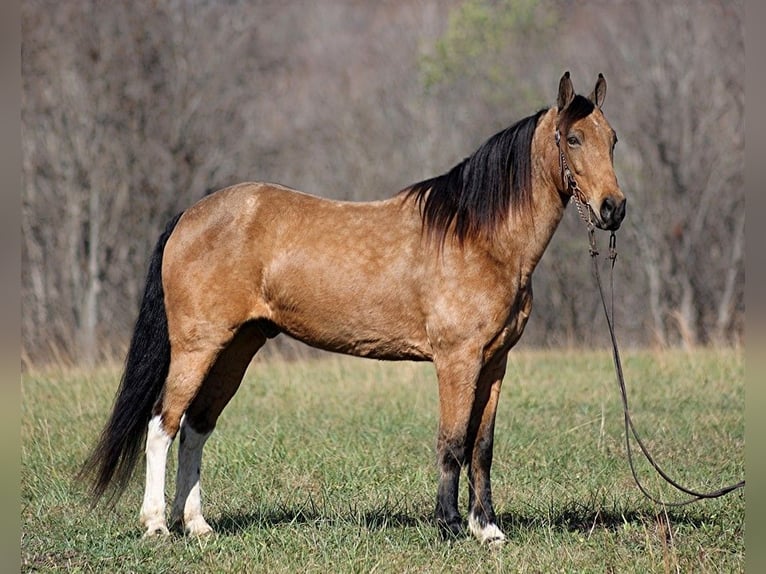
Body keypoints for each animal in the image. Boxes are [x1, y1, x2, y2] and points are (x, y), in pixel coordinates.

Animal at [81, 71, 628, 544]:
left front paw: (487, 529)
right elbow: (452, 442)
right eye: (572, 139)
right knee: (163, 424)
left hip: (236, 348)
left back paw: (195, 525)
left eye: (613, 138)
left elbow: (481, 447)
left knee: (196, 428)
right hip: (197, 347)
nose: (613, 208)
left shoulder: (494, 363)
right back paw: (156, 524)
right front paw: (450, 526)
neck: (478, 237)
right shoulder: (457, 360)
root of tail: (189, 216)